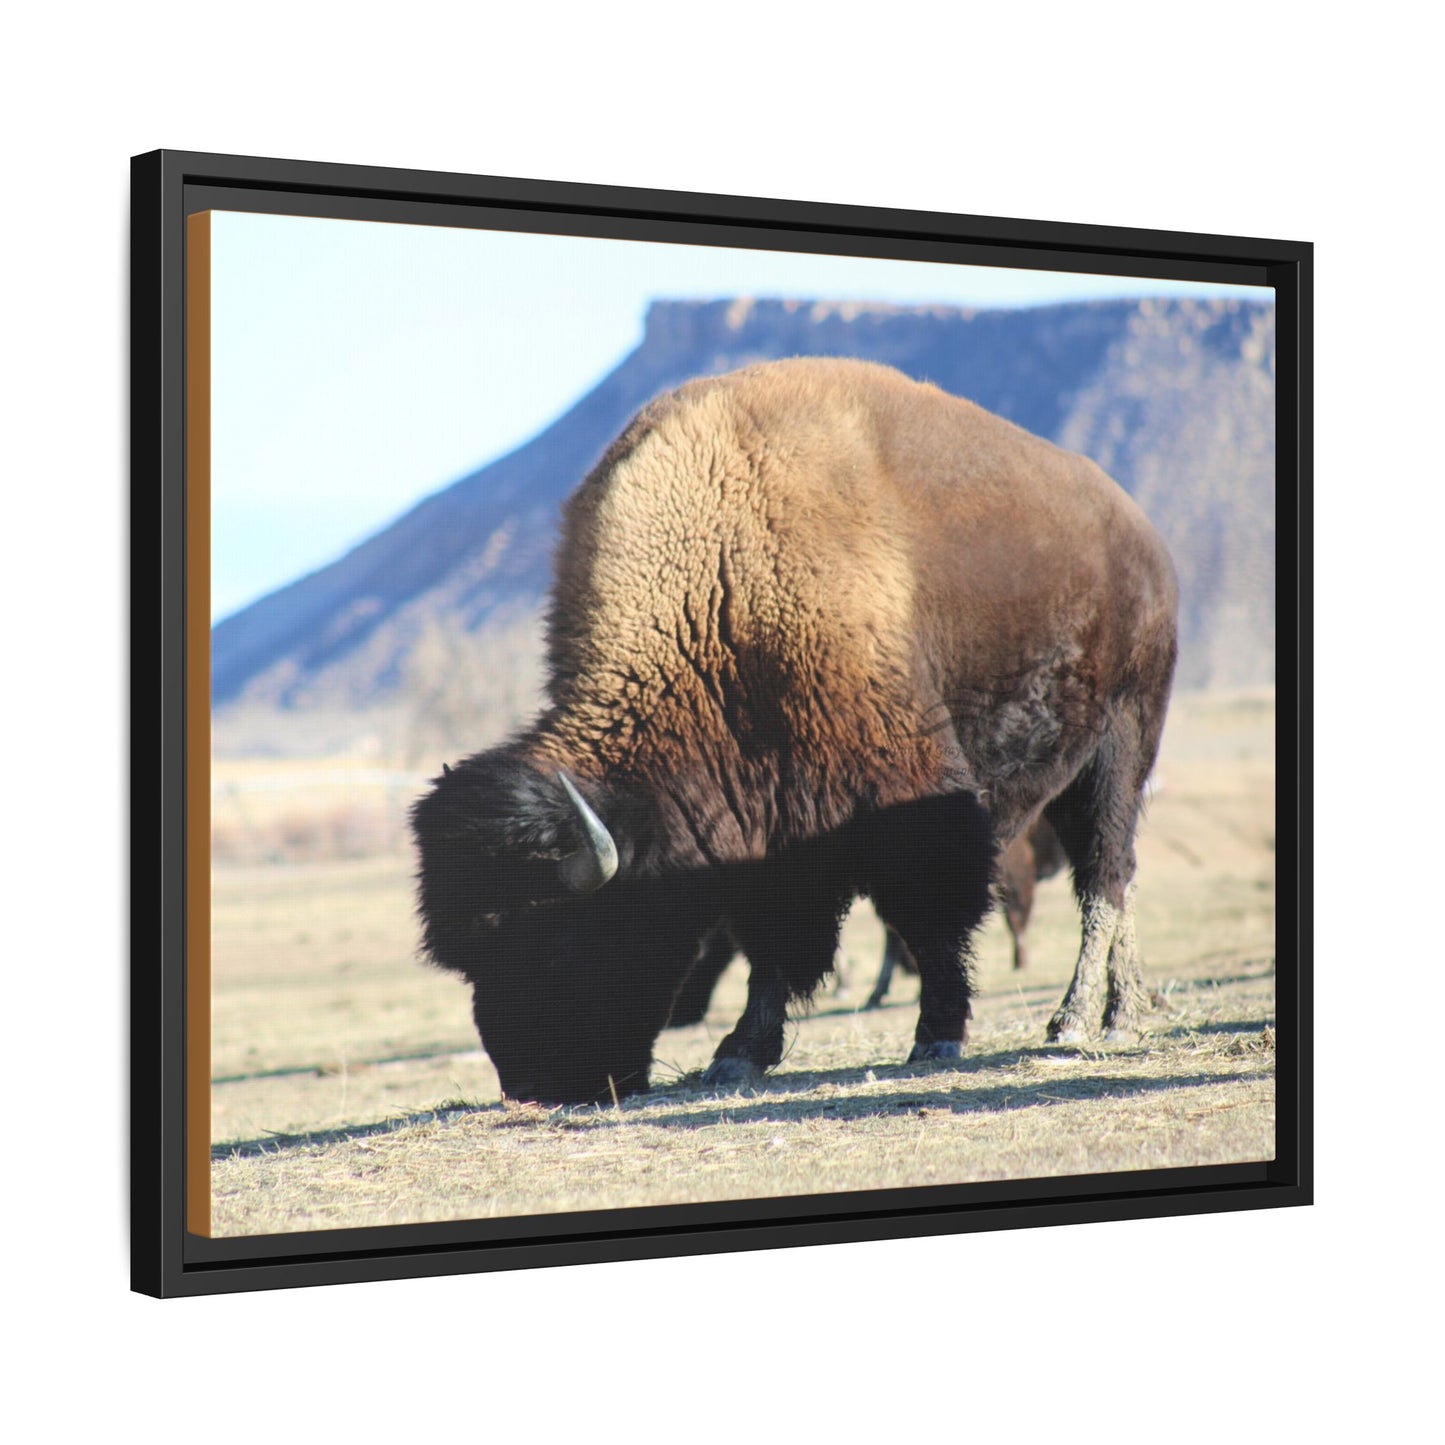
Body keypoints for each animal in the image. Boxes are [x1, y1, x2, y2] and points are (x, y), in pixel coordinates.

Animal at [412, 358, 1178, 1103]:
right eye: (468, 958)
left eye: (557, 938)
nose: (531, 1087)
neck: (718, 589)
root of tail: (1142, 536)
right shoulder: (770, 827)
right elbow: (774, 942)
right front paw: (739, 1053)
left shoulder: (906, 794)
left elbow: (927, 915)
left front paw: (936, 1035)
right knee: (1119, 876)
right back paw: (1123, 1008)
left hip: (1120, 746)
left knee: (1103, 876)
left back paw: (1080, 1019)